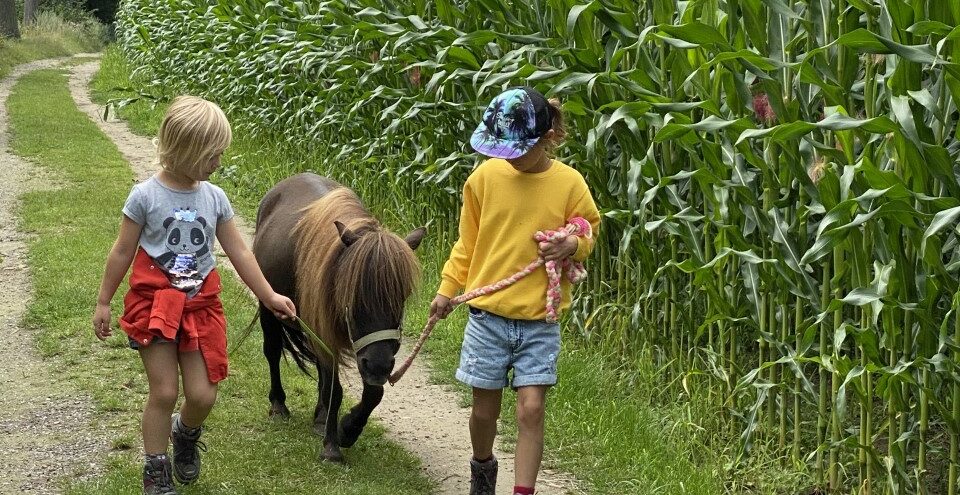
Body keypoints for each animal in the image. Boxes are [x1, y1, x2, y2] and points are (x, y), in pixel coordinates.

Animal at [251, 172, 424, 464]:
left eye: (401, 297)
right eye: (355, 294)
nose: (379, 366)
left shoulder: (367, 351)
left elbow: (373, 392)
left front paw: (348, 430)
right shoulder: (328, 335)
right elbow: (336, 388)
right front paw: (331, 447)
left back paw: (321, 417)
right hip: (269, 309)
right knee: (272, 352)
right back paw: (279, 405)